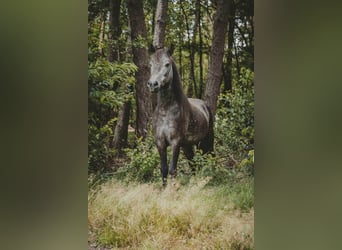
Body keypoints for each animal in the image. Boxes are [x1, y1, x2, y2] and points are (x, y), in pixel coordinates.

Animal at [147, 45, 214, 186]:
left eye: (167, 64)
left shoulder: (175, 143)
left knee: (210, 157)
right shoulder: (160, 143)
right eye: (150, 64)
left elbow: (173, 170)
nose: (153, 84)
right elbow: (164, 169)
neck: (166, 110)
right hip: (188, 145)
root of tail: (204, 105)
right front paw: (164, 188)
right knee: (192, 163)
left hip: (207, 140)